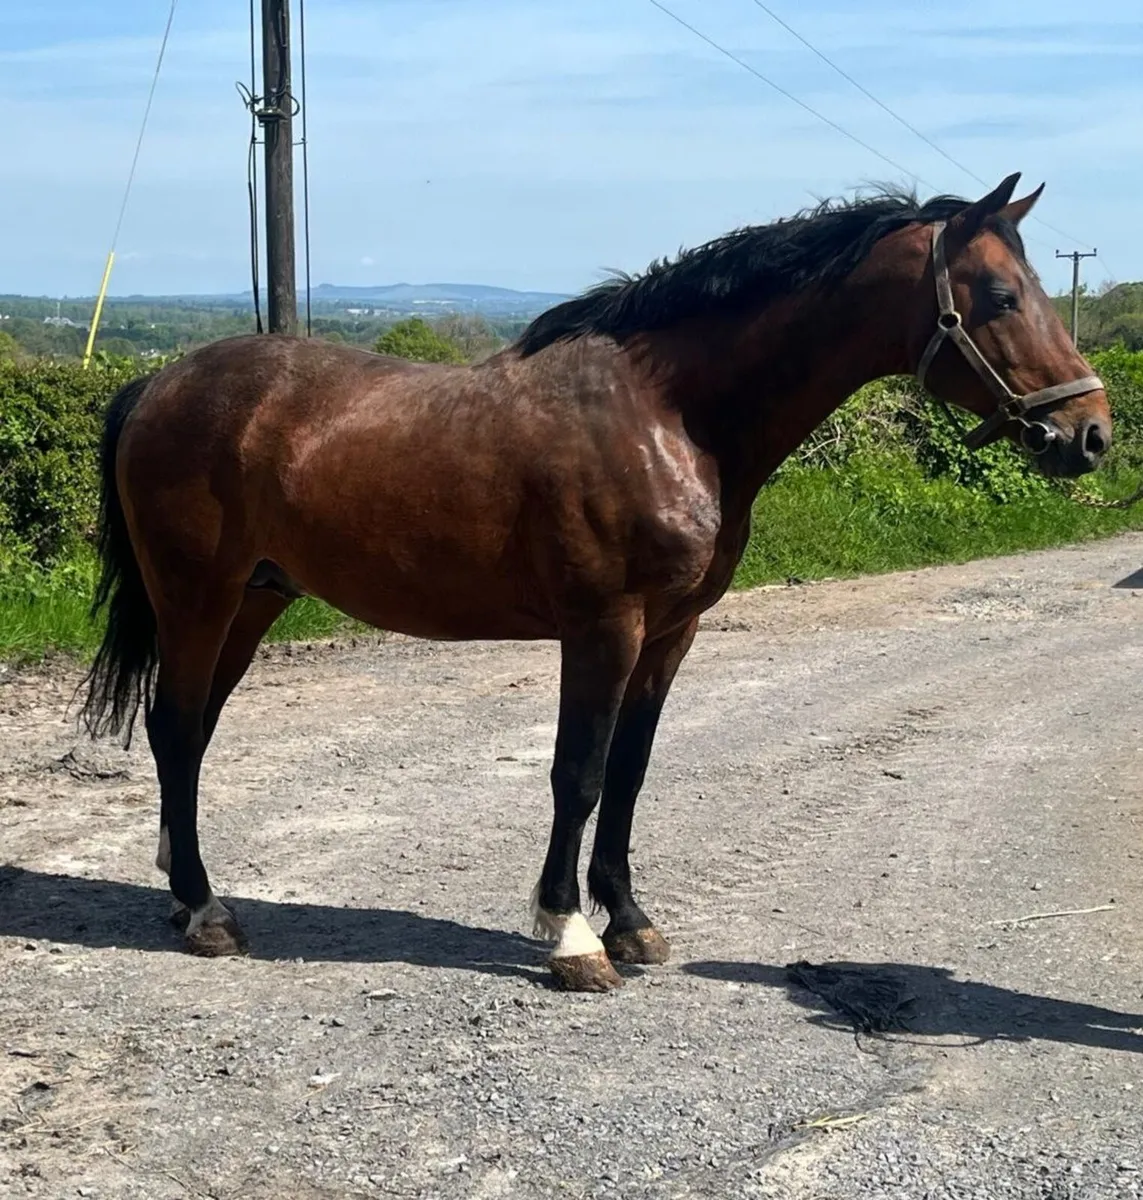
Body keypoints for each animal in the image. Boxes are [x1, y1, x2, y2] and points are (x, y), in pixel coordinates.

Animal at [81, 173, 1110, 992]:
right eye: (999, 295)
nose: (1088, 433)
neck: (667, 414)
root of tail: (158, 385)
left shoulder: (669, 633)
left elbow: (629, 770)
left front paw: (632, 922)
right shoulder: (604, 627)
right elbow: (575, 773)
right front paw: (571, 936)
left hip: (253, 600)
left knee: (190, 733)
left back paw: (180, 887)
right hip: (198, 598)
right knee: (176, 728)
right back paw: (205, 911)